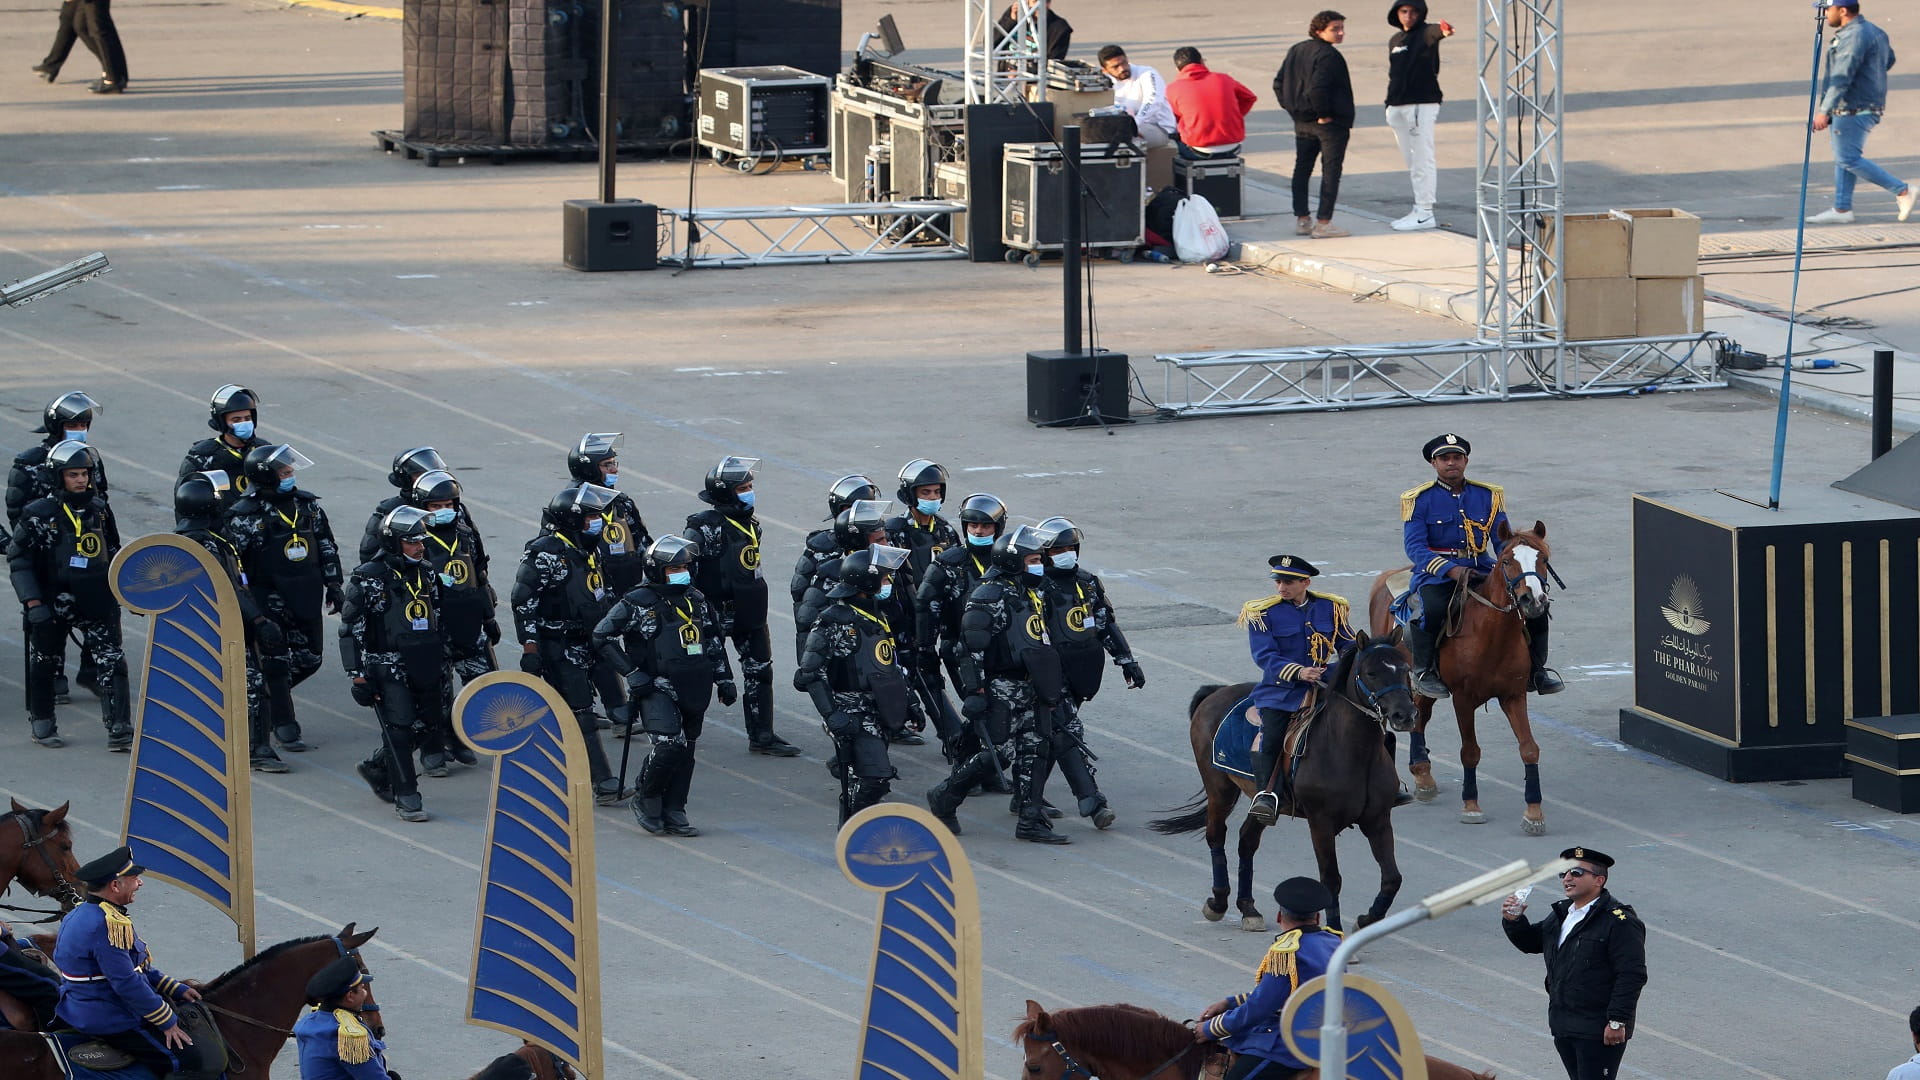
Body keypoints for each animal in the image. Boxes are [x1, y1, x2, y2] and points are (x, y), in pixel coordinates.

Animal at [1144, 626, 1420, 930]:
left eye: (1405, 668)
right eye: (1371, 672)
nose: (1405, 715)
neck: (1353, 752)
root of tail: (1216, 693)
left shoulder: (1378, 819)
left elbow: (1392, 878)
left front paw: (1367, 919)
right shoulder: (1321, 822)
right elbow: (1330, 880)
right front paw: (1335, 929)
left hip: (1261, 799)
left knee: (1247, 840)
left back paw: (1248, 908)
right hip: (1220, 789)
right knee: (1216, 836)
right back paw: (1218, 903)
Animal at [1374, 518, 1551, 834]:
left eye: (1542, 558)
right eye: (1506, 561)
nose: (1533, 600)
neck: (1492, 634)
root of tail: (1388, 577)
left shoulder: (1514, 695)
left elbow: (1529, 748)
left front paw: (1533, 813)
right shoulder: (1463, 699)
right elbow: (1470, 751)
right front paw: (1471, 805)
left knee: (1420, 716)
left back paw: (1422, 774)